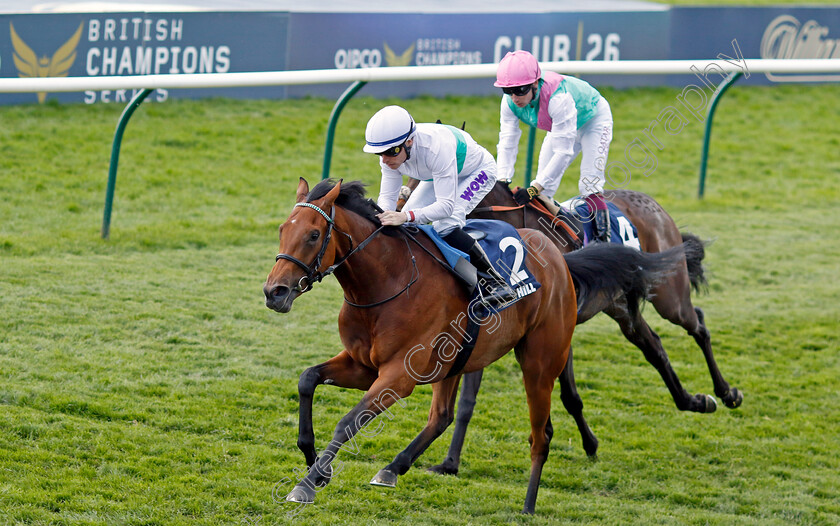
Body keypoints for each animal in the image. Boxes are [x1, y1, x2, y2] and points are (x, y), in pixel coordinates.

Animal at [266, 180, 684, 516]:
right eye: (283, 230)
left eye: (314, 235)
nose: (275, 292)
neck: (388, 281)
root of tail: (560, 258)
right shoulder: (362, 365)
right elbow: (307, 379)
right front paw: (313, 460)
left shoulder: (398, 376)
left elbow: (348, 421)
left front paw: (307, 483)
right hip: (455, 361)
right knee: (442, 416)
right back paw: (393, 468)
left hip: (539, 363)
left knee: (541, 434)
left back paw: (528, 506)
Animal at [426, 184, 740, 476]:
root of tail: (652, 203)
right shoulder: (489, 335)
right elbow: (467, 400)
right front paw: (450, 462)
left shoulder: (559, 332)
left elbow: (569, 397)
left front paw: (584, 441)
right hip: (621, 307)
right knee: (654, 346)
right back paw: (693, 401)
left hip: (669, 297)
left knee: (697, 324)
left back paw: (726, 393)